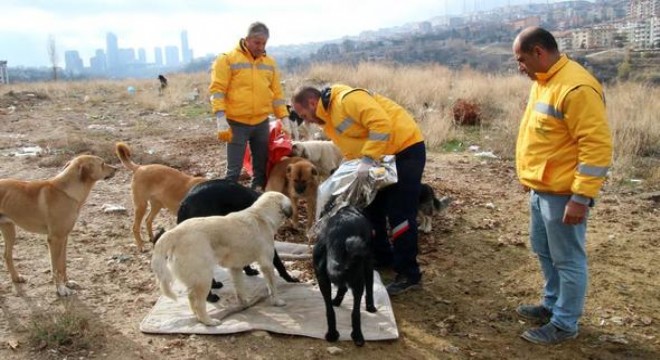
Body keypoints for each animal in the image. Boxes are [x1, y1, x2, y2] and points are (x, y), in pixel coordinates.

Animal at [0, 155, 117, 296]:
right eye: (102, 164)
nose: (116, 168)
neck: (67, 191)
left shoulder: (64, 237)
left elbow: (63, 265)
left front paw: (68, 283)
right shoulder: (55, 239)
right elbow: (55, 267)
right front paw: (61, 289)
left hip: (9, 230)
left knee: (7, 255)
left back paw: (16, 277)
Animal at [153, 191, 292, 326]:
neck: (260, 214)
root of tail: (175, 232)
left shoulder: (235, 268)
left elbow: (239, 289)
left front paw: (244, 304)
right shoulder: (267, 264)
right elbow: (273, 287)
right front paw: (277, 301)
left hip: (196, 279)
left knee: (191, 298)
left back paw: (197, 317)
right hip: (204, 278)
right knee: (199, 303)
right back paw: (208, 321)